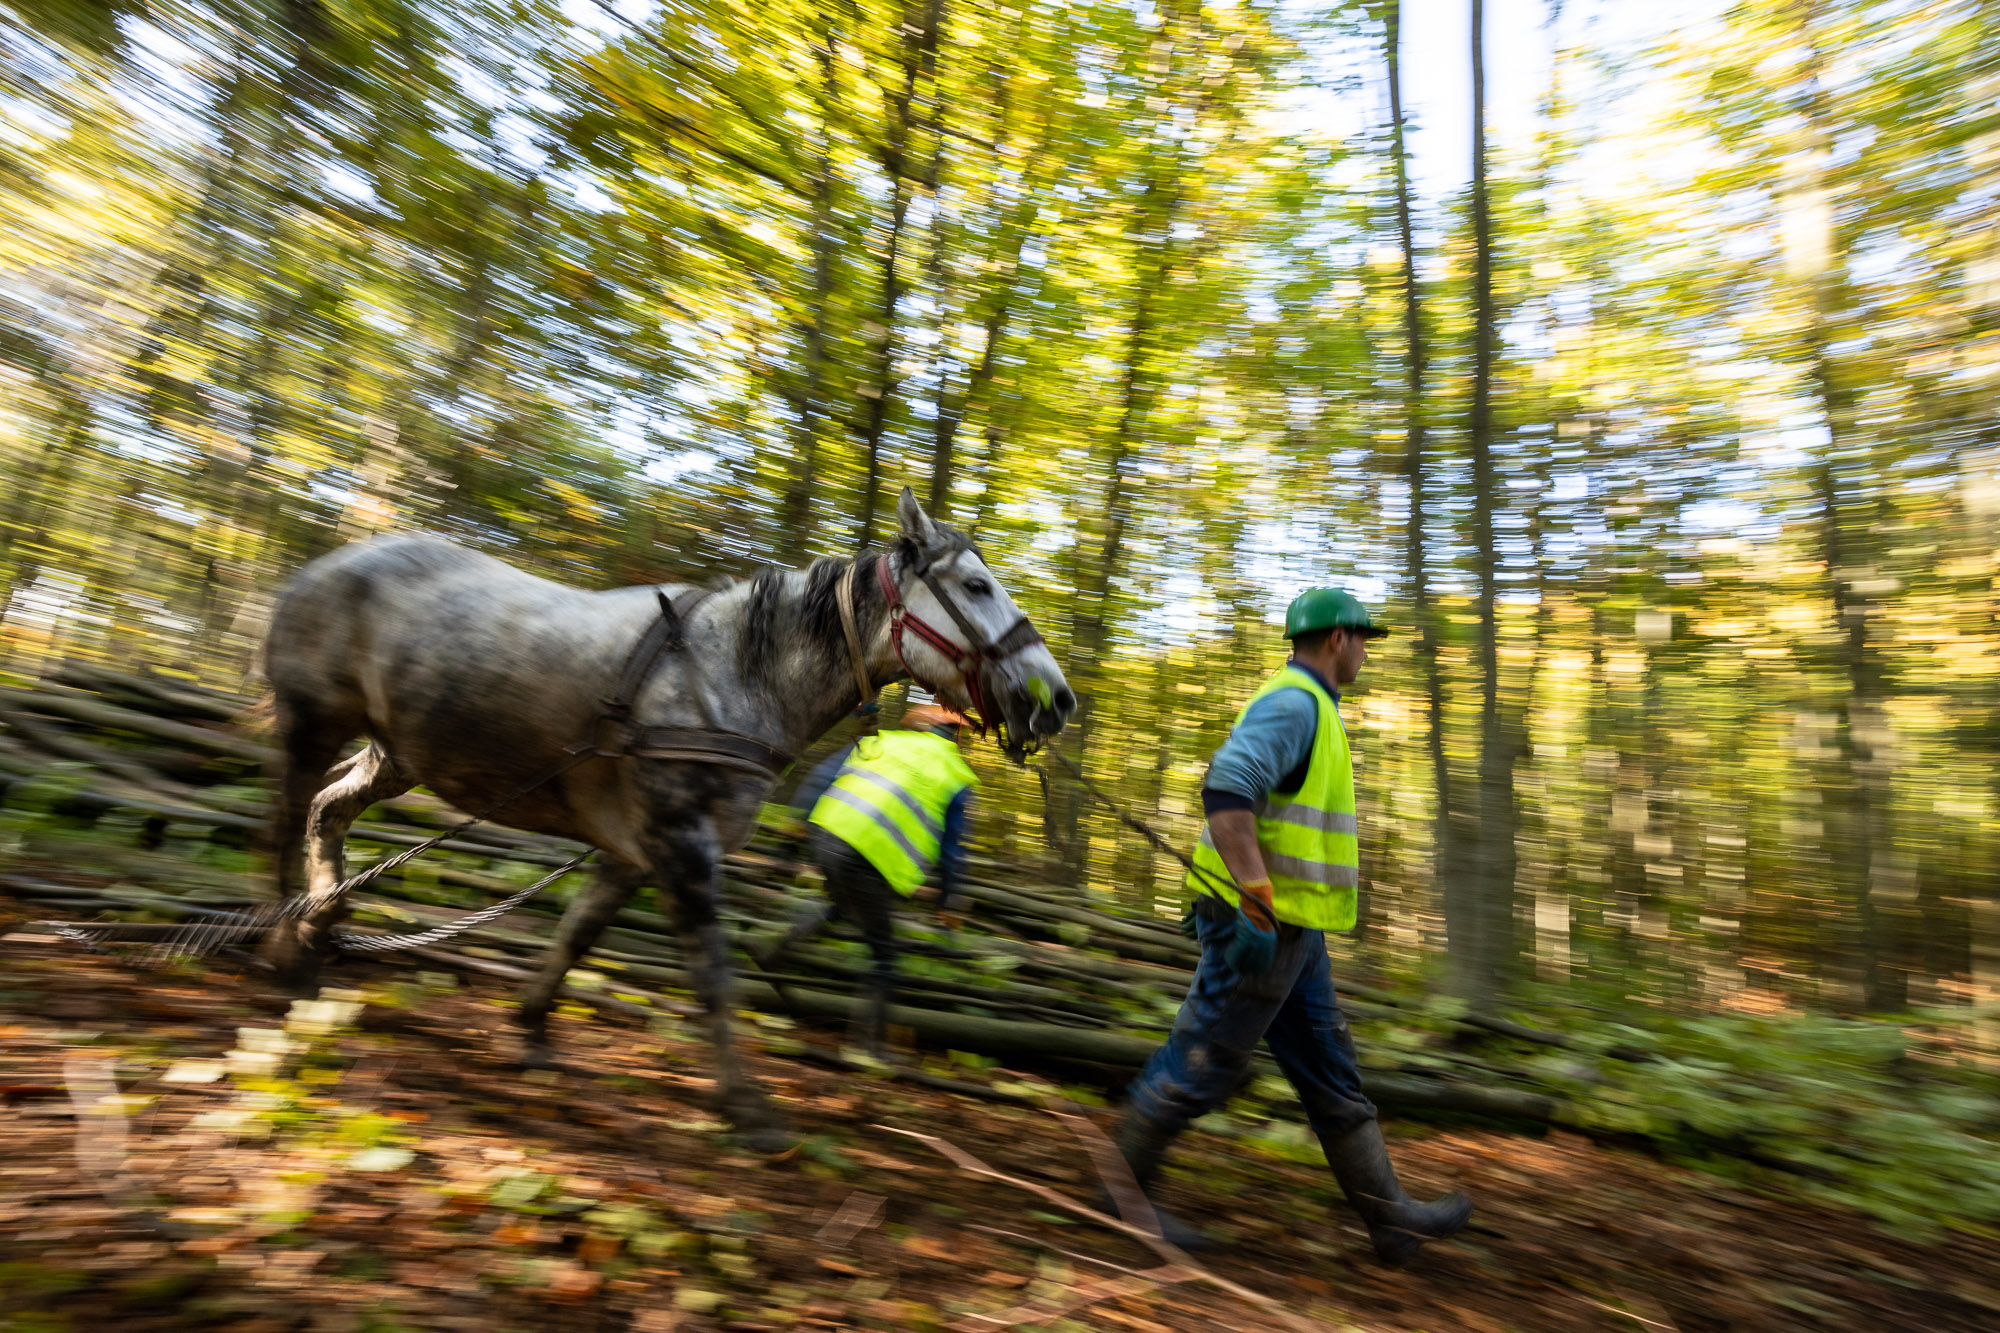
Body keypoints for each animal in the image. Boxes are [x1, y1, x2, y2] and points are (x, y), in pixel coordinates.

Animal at [256, 488, 1075, 1147]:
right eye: (976, 584)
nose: (1058, 698)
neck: (737, 671)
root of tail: (330, 562)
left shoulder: (633, 850)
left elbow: (577, 935)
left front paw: (532, 1030)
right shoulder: (680, 840)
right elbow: (711, 972)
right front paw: (747, 1107)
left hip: (395, 754)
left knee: (328, 815)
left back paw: (322, 925)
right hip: (313, 722)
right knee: (287, 820)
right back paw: (284, 948)